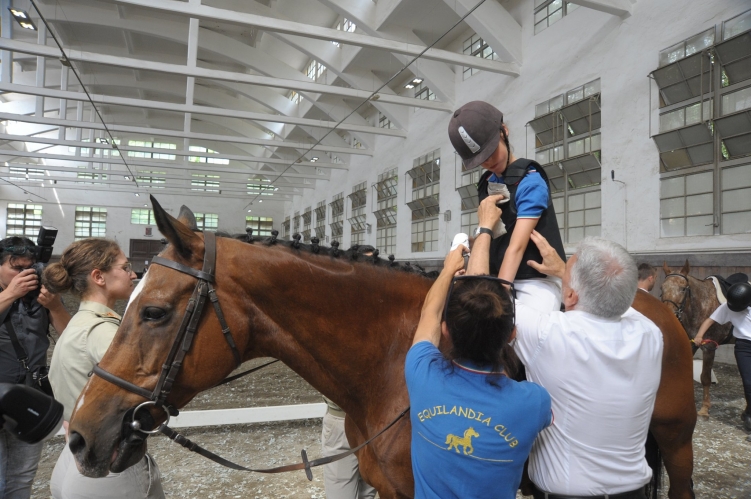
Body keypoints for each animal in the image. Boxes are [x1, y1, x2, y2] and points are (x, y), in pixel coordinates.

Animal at [664, 260, 736, 420]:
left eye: (683, 289)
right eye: (662, 288)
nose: (669, 315)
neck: (703, 305)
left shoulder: (709, 347)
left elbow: (705, 378)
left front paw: (704, 408)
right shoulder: (691, 344)